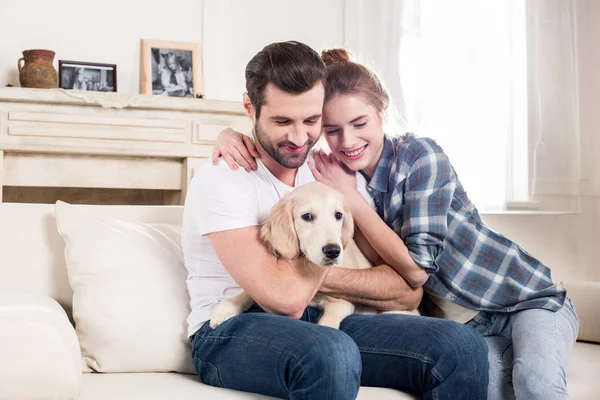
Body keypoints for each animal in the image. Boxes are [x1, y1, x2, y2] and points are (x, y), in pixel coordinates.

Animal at [210, 181, 418, 328]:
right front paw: (226, 308)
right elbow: (249, 292)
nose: (333, 251)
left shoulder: (342, 303)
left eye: (338, 215)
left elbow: (328, 325)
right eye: (307, 216)